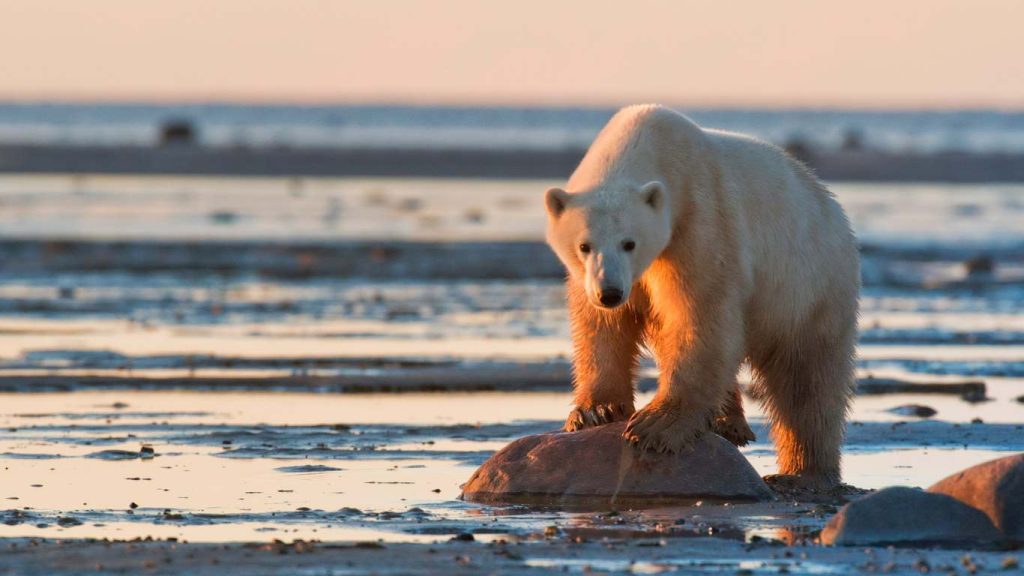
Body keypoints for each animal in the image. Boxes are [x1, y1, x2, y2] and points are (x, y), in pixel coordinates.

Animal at [548, 103, 860, 483]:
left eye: (629, 242)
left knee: (808, 379)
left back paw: (806, 468)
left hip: (809, 286)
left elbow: (700, 315)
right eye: (584, 245)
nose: (609, 292)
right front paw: (596, 411)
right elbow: (602, 326)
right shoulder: (599, 279)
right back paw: (730, 422)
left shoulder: (700, 222)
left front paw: (656, 426)